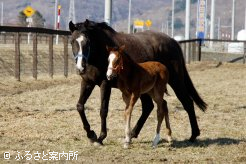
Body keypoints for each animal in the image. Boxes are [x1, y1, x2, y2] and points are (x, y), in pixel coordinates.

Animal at [68, 18, 207, 145]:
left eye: (88, 42)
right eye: (72, 41)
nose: (80, 66)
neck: (99, 52)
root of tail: (173, 42)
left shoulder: (105, 83)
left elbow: (103, 110)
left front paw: (101, 137)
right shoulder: (87, 82)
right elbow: (80, 106)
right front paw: (91, 133)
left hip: (175, 81)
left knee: (187, 102)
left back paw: (194, 135)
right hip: (147, 89)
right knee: (149, 107)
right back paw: (133, 133)